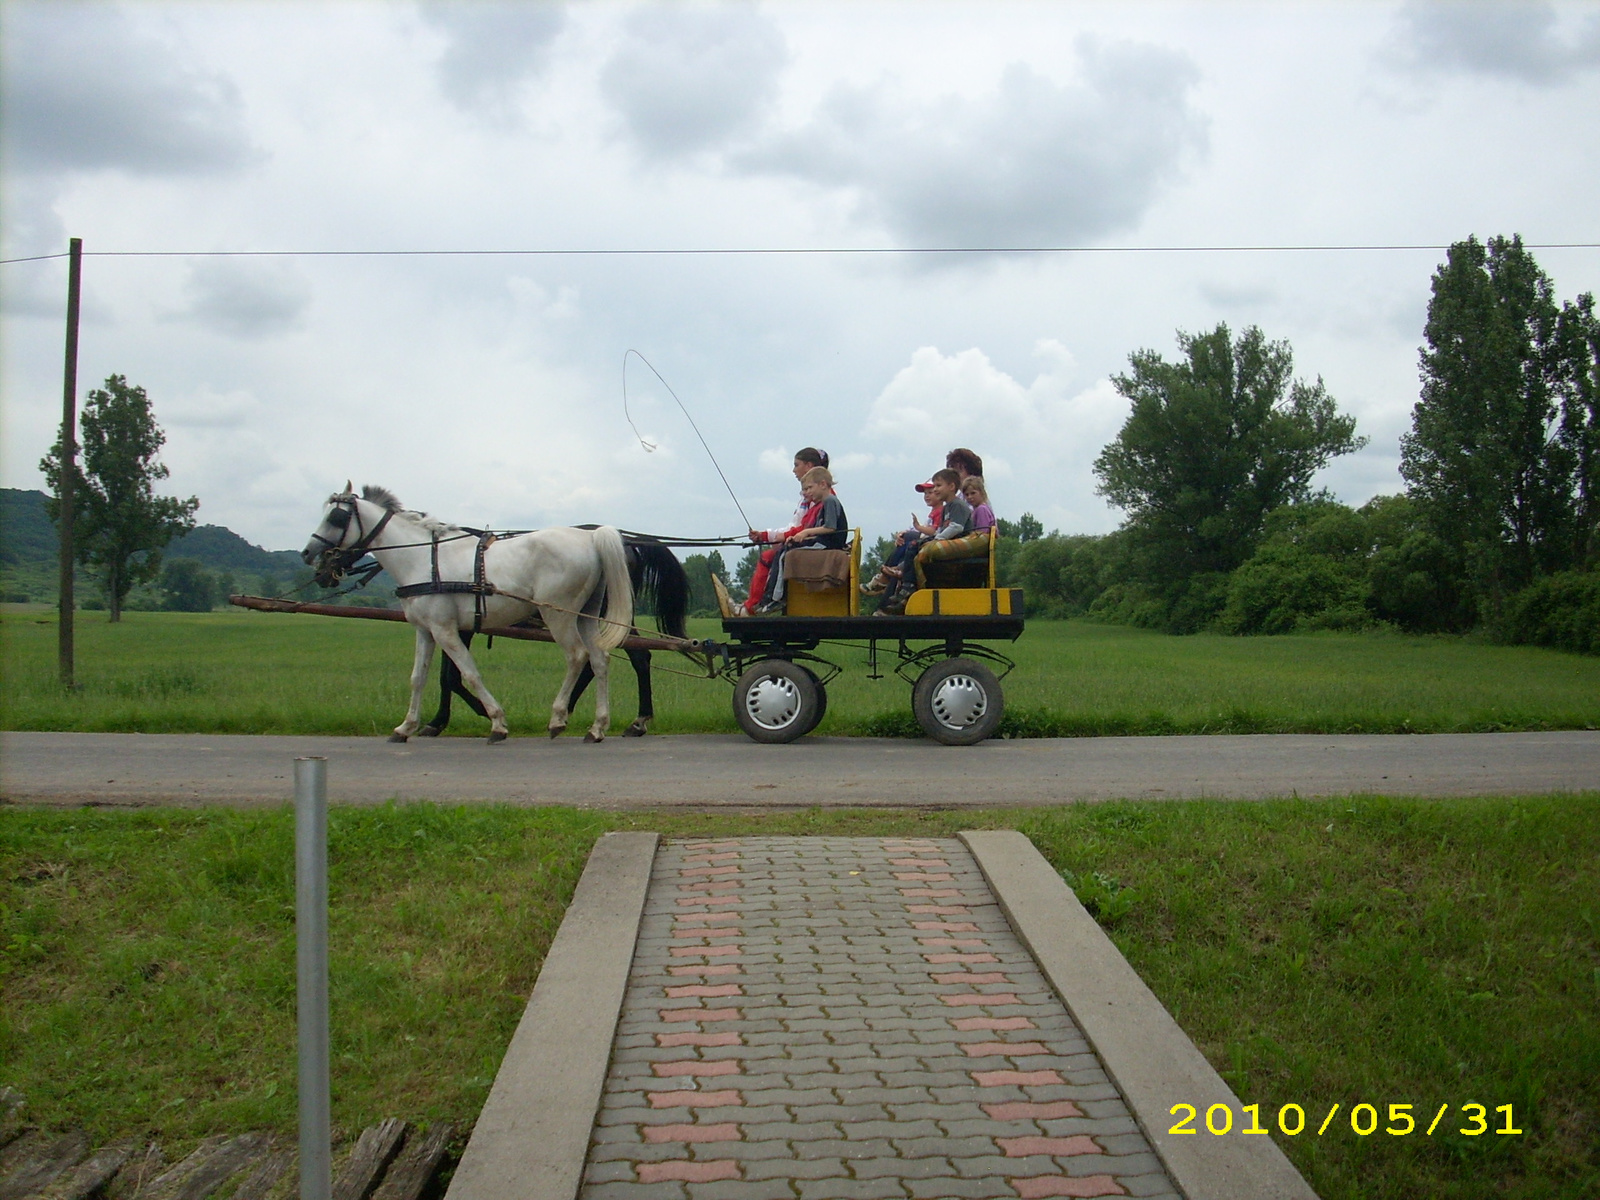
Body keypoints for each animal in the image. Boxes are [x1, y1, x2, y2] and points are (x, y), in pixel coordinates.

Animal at [300, 486, 630, 742]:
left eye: (336, 517)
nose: (308, 553)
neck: (421, 558)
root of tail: (589, 538)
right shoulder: (425, 630)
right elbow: (418, 677)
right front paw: (405, 727)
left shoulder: (445, 630)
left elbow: (469, 673)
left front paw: (497, 723)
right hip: (585, 615)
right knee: (600, 659)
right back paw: (597, 727)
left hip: (558, 615)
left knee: (577, 656)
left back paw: (558, 719)